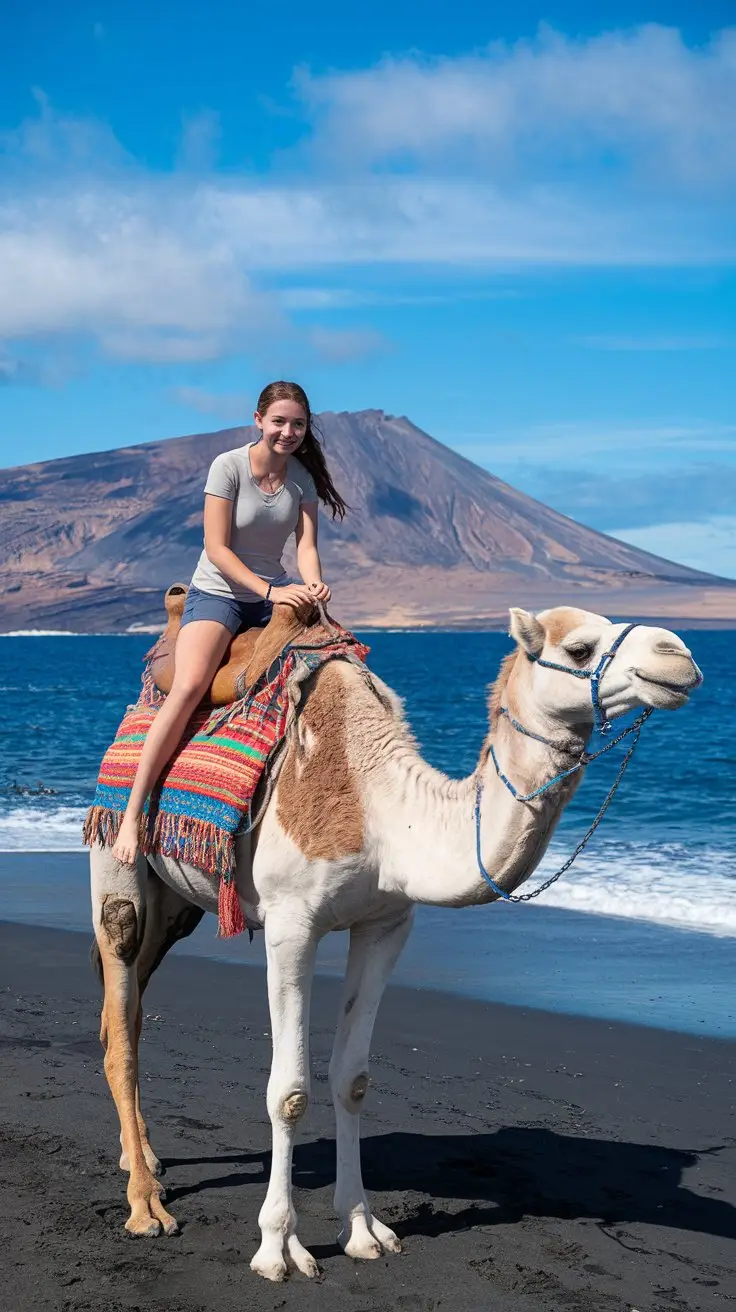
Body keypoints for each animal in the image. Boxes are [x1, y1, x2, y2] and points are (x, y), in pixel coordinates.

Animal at [89, 603, 702, 1281]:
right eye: (578, 649)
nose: (680, 656)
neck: (382, 814)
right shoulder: (290, 923)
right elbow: (289, 1092)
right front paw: (279, 1249)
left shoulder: (385, 925)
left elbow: (351, 1079)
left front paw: (363, 1231)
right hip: (115, 856)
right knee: (121, 994)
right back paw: (146, 1207)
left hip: (177, 906)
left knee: (127, 1013)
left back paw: (143, 1158)